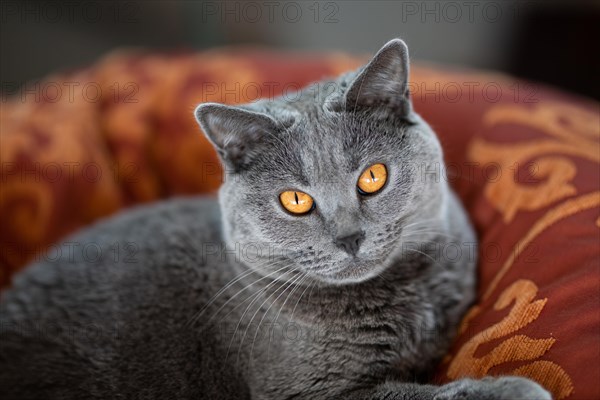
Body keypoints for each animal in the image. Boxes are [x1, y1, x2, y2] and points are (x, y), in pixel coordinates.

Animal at [1, 38, 552, 400]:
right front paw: (517, 389)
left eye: (373, 176)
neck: (401, 304)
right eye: (295, 201)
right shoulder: (310, 393)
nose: (350, 237)